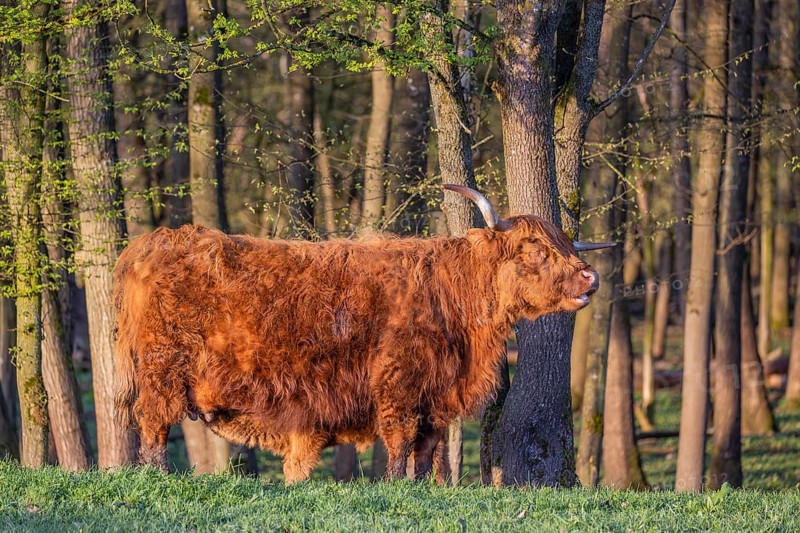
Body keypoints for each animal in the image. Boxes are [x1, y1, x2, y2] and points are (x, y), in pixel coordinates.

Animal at [114, 185, 610, 483]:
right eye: (534, 249)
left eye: (565, 244)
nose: (591, 277)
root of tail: (153, 242)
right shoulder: (398, 385)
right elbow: (400, 441)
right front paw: (393, 485)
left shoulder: (436, 397)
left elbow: (426, 448)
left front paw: (420, 488)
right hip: (163, 369)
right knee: (153, 423)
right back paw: (157, 475)